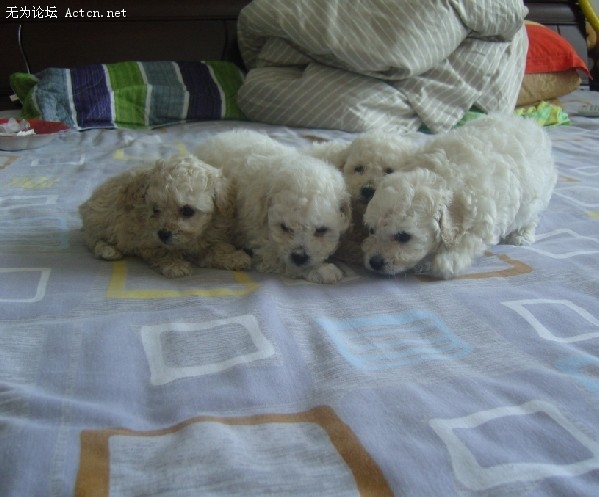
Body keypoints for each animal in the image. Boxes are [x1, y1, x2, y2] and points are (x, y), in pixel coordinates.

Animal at [79, 155, 251, 278]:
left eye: (187, 211)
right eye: (155, 209)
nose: (163, 234)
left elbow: (214, 248)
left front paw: (233, 257)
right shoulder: (145, 238)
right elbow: (163, 251)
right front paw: (175, 265)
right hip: (97, 220)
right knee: (92, 240)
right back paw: (108, 251)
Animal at [196, 130, 351, 283]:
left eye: (321, 230)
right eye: (284, 227)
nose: (299, 257)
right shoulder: (260, 236)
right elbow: (283, 260)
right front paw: (323, 271)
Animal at [361, 113, 557, 279]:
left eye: (403, 237)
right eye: (371, 231)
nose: (374, 262)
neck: (443, 178)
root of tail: (530, 123)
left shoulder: (481, 224)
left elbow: (459, 250)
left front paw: (437, 262)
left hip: (536, 195)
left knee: (531, 217)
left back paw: (521, 235)